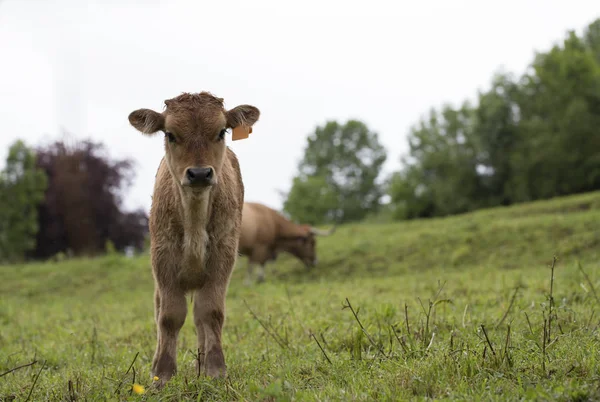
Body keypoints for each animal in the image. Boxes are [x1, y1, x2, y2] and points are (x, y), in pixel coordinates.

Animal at [127, 91, 258, 386]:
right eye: (171, 134)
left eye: (221, 131)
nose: (199, 173)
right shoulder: (162, 262)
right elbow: (169, 317)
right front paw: (162, 375)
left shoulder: (223, 258)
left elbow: (211, 313)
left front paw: (215, 369)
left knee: (200, 319)